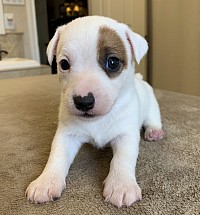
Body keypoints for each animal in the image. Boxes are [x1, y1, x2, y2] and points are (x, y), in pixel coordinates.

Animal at [25, 15, 164, 207]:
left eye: (112, 62)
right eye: (64, 64)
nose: (83, 101)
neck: (99, 120)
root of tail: (140, 79)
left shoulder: (126, 134)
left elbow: (123, 158)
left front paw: (121, 184)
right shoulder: (67, 134)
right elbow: (57, 155)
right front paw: (46, 181)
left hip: (151, 105)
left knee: (153, 118)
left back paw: (154, 131)